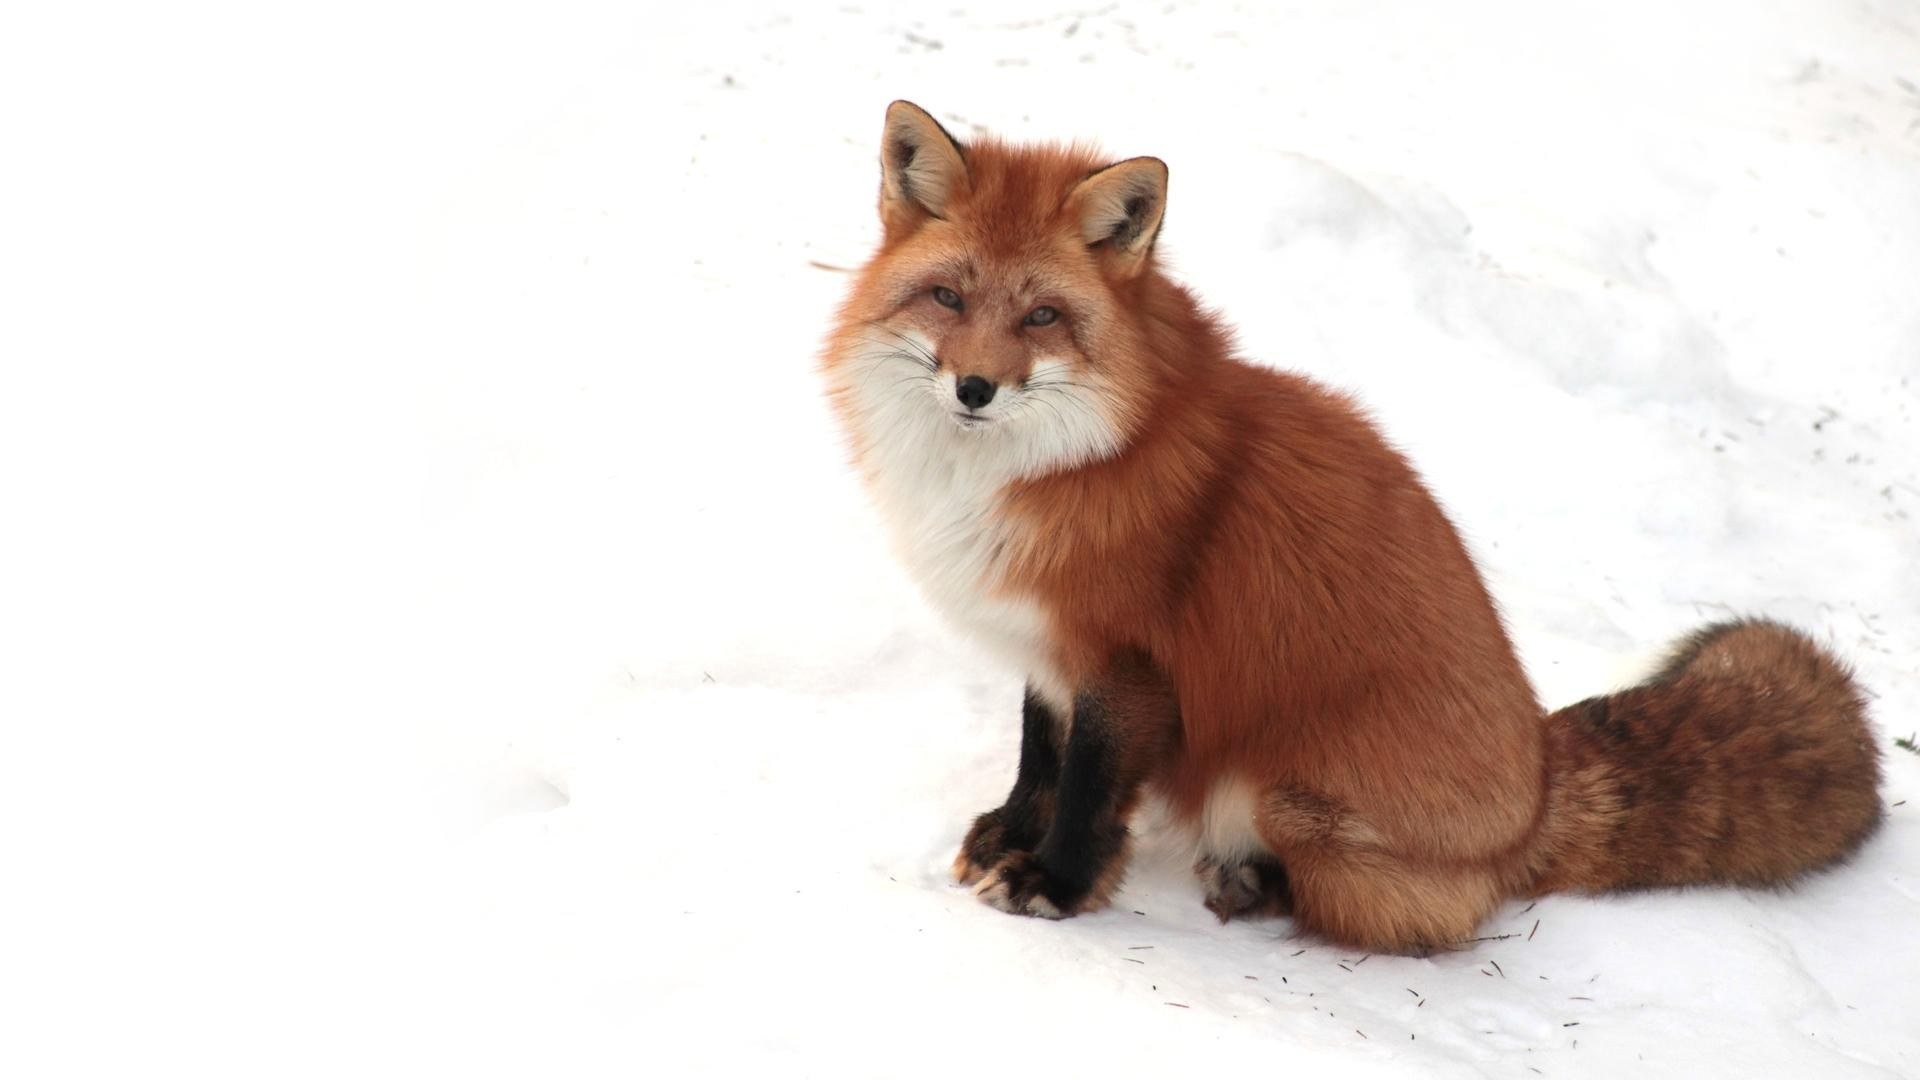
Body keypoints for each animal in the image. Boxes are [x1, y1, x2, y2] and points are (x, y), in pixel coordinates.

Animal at [819, 101, 1885, 953]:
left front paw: (1056, 883)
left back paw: (1251, 884)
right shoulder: (1047, 649)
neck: (1057, 460)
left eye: (1041, 317)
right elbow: (1038, 762)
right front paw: (1009, 835)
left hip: (1282, 793)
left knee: (1407, 919)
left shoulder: (1127, 663)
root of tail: (1538, 790)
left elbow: (1085, 790)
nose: (975, 388)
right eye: (949, 297)